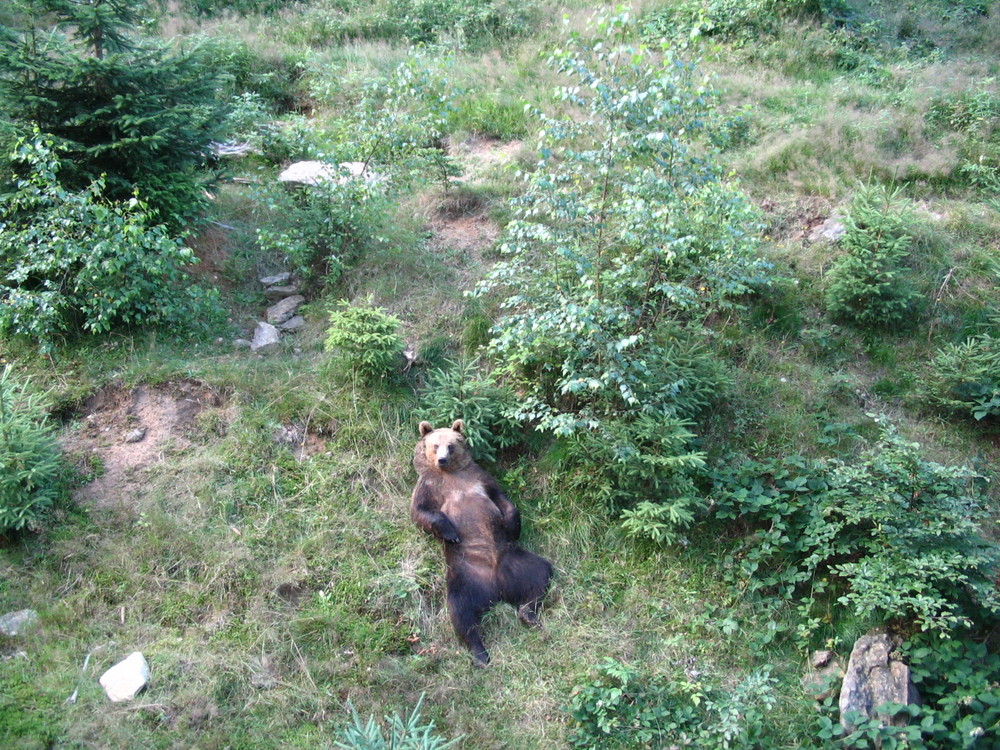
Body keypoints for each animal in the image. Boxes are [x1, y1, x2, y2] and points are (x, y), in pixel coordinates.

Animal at [412, 420, 556, 668]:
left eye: (451, 445)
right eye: (435, 445)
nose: (442, 460)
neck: (452, 474)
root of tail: (498, 587)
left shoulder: (480, 477)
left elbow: (502, 499)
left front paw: (512, 526)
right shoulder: (430, 486)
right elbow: (421, 512)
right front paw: (451, 533)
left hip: (516, 560)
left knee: (541, 574)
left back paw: (528, 614)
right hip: (466, 576)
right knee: (461, 610)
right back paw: (479, 653)